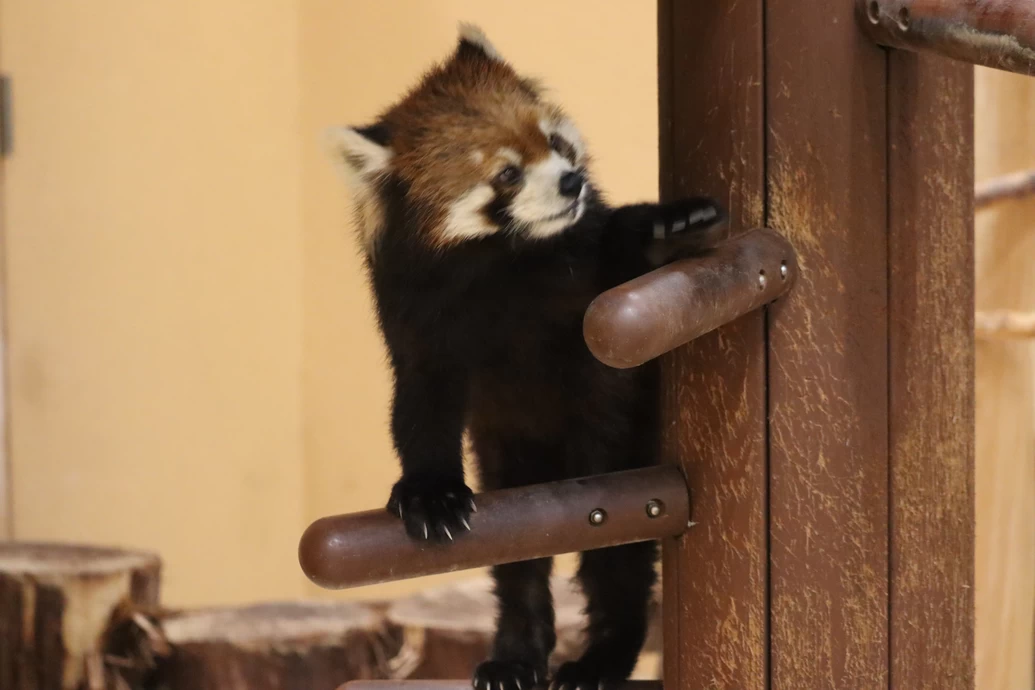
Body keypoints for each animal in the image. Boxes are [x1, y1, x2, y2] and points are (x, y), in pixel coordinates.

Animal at [324, 24, 728, 690]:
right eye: (507, 174)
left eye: (556, 142)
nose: (570, 182)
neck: (503, 262)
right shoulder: (419, 322)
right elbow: (420, 410)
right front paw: (429, 493)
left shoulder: (585, 279)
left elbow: (614, 292)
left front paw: (667, 226)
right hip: (510, 464)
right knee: (519, 563)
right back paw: (516, 656)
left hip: (623, 456)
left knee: (617, 560)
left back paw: (601, 660)